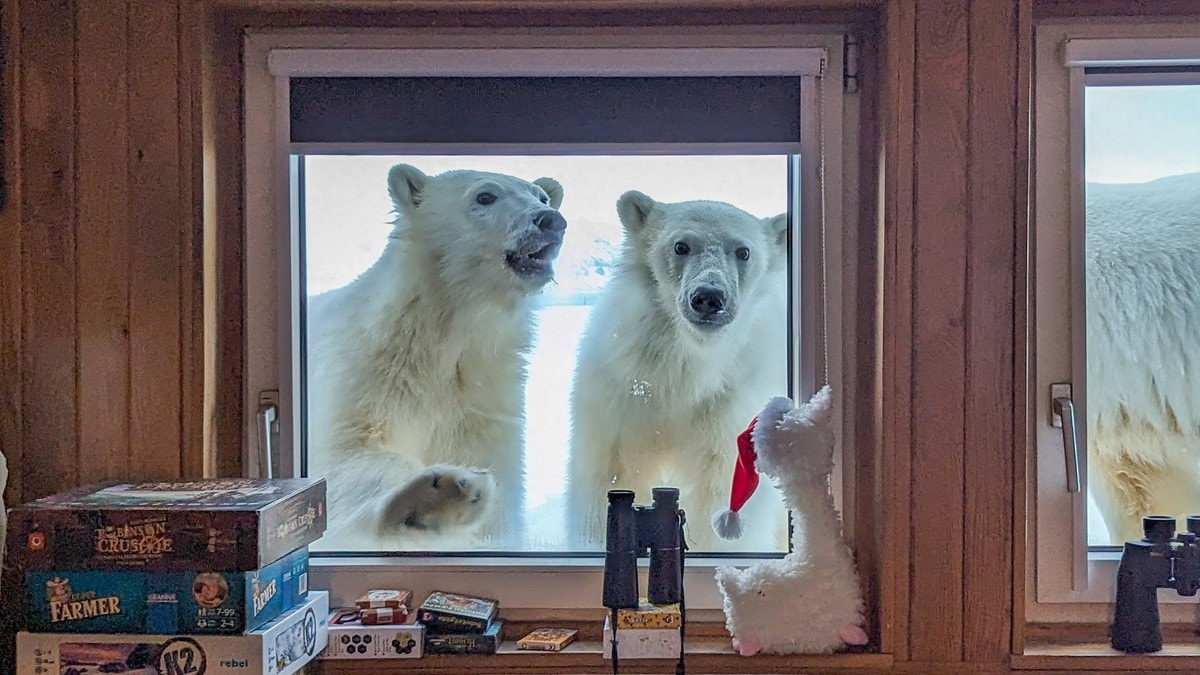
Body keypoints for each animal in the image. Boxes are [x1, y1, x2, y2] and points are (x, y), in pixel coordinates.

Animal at [309, 164, 571, 552]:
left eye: (541, 196)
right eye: (485, 196)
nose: (550, 220)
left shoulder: (482, 401)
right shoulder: (364, 374)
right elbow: (344, 455)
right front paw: (436, 496)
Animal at [566, 192, 792, 550]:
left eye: (743, 251)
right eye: (680, 245)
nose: (709, 297)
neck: (686, 369)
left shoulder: (731, 403)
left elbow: (721, 488)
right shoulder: (622, 390)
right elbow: (611, 472)